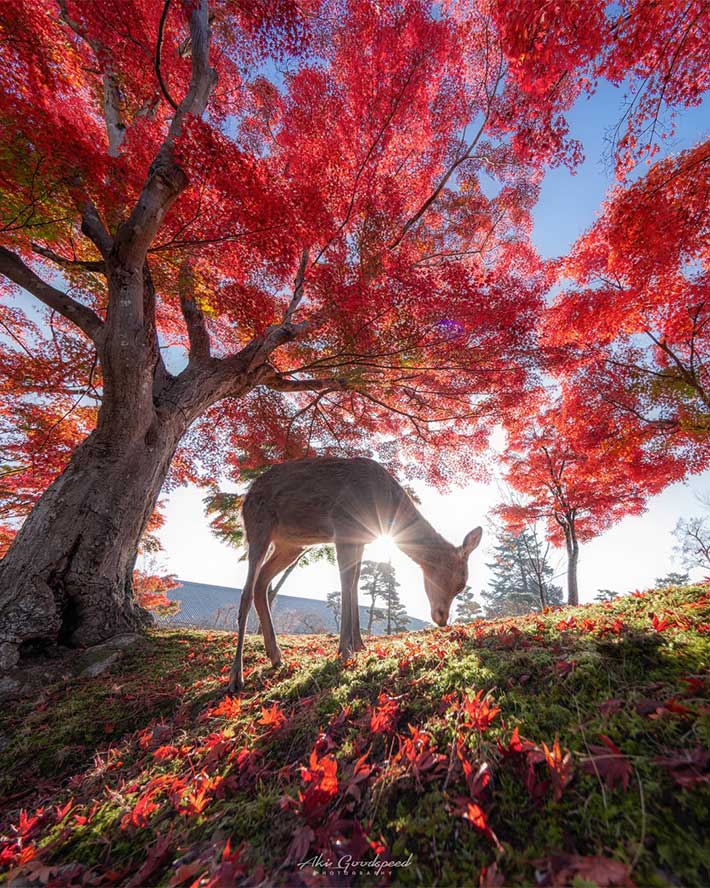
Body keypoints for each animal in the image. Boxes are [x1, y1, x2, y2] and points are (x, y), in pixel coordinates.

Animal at [228, 458, 484, 692]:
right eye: (461, 583)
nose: (442, 619)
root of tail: (244, 500)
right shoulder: (343, 528)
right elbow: (346, 584)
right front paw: (344, 650)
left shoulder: (360, 540)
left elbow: (355, 585)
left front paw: (359, 645)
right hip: (259, 526)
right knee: (246, 592)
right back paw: (236, 676)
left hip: (291, 544)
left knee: (261, 583)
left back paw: (276, 656)